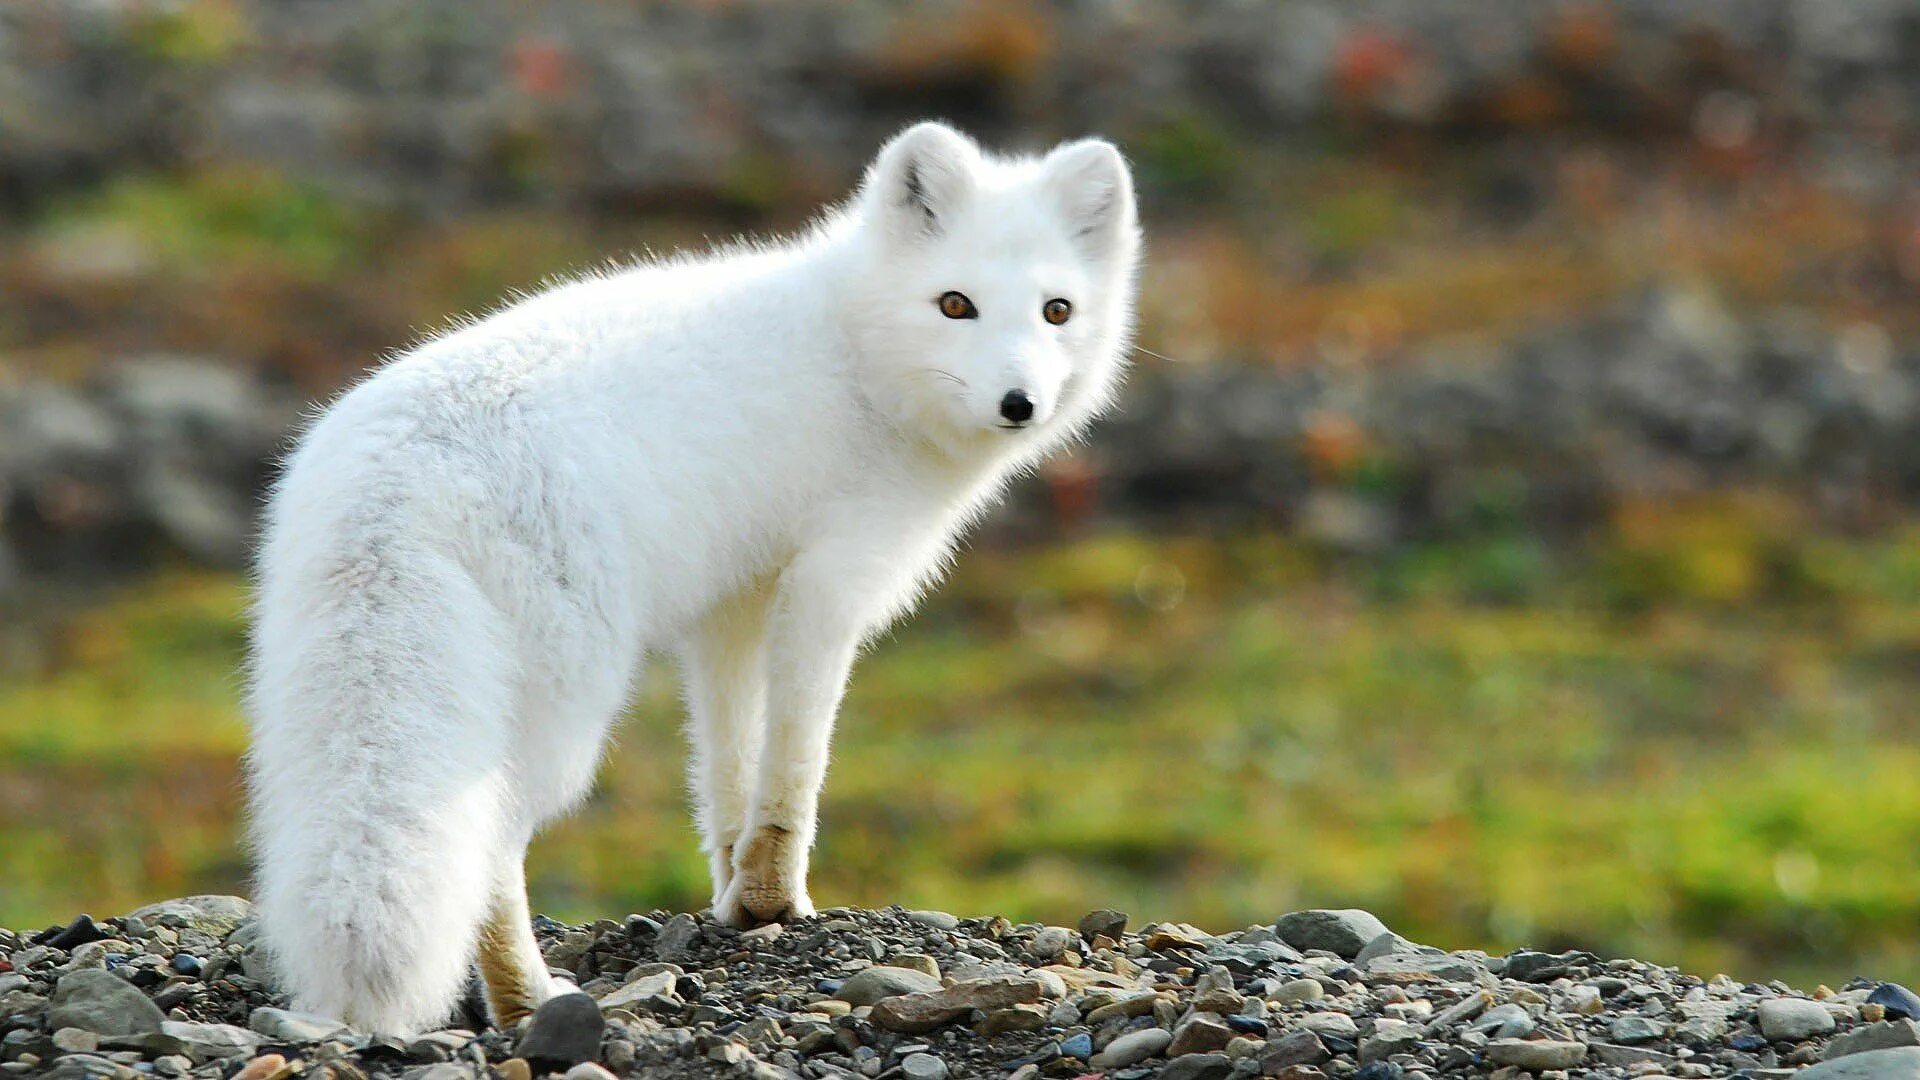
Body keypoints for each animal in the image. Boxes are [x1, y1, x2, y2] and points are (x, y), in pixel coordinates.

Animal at [240, 122, 1136, 1030]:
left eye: (1057, 311)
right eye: (956, 304)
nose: (1019, 402)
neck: (857, 353)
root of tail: (393, 481)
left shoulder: (733, 602)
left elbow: (726, 762)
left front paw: (737, 896)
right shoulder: (829, 581)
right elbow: (796, 760)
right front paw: (776, 898)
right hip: (561, 710)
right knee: (491, 845)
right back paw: (528, 999)